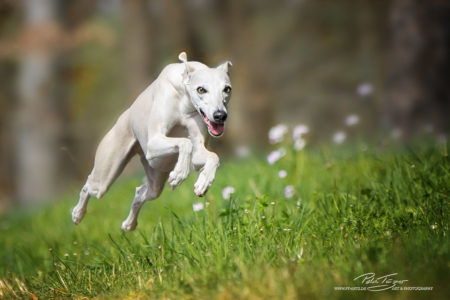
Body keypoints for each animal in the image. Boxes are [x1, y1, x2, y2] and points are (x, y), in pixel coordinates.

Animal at [71, 51, 232, 231]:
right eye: (201, 89)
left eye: (227, 89)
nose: (220, 115)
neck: (184, 98)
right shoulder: (153, 142)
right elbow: (185, 142)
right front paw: (179, 173)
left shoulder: (197, 150)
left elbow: (212, 156)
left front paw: (203, 182)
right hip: (105, 176)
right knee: (88, 186)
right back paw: (77, 214)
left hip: (156, 175)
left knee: (140, 193)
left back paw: (129, 224)